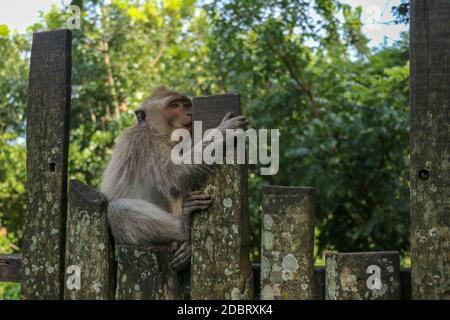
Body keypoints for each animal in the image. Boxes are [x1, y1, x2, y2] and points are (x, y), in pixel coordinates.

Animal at [100, 87, 250, 270]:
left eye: (186, 104)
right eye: (174, 105)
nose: (190, 113)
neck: (158, 133)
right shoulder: (144, 142)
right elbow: (174, 175)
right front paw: (223, 132)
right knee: (117, 210)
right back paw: (183, 224)